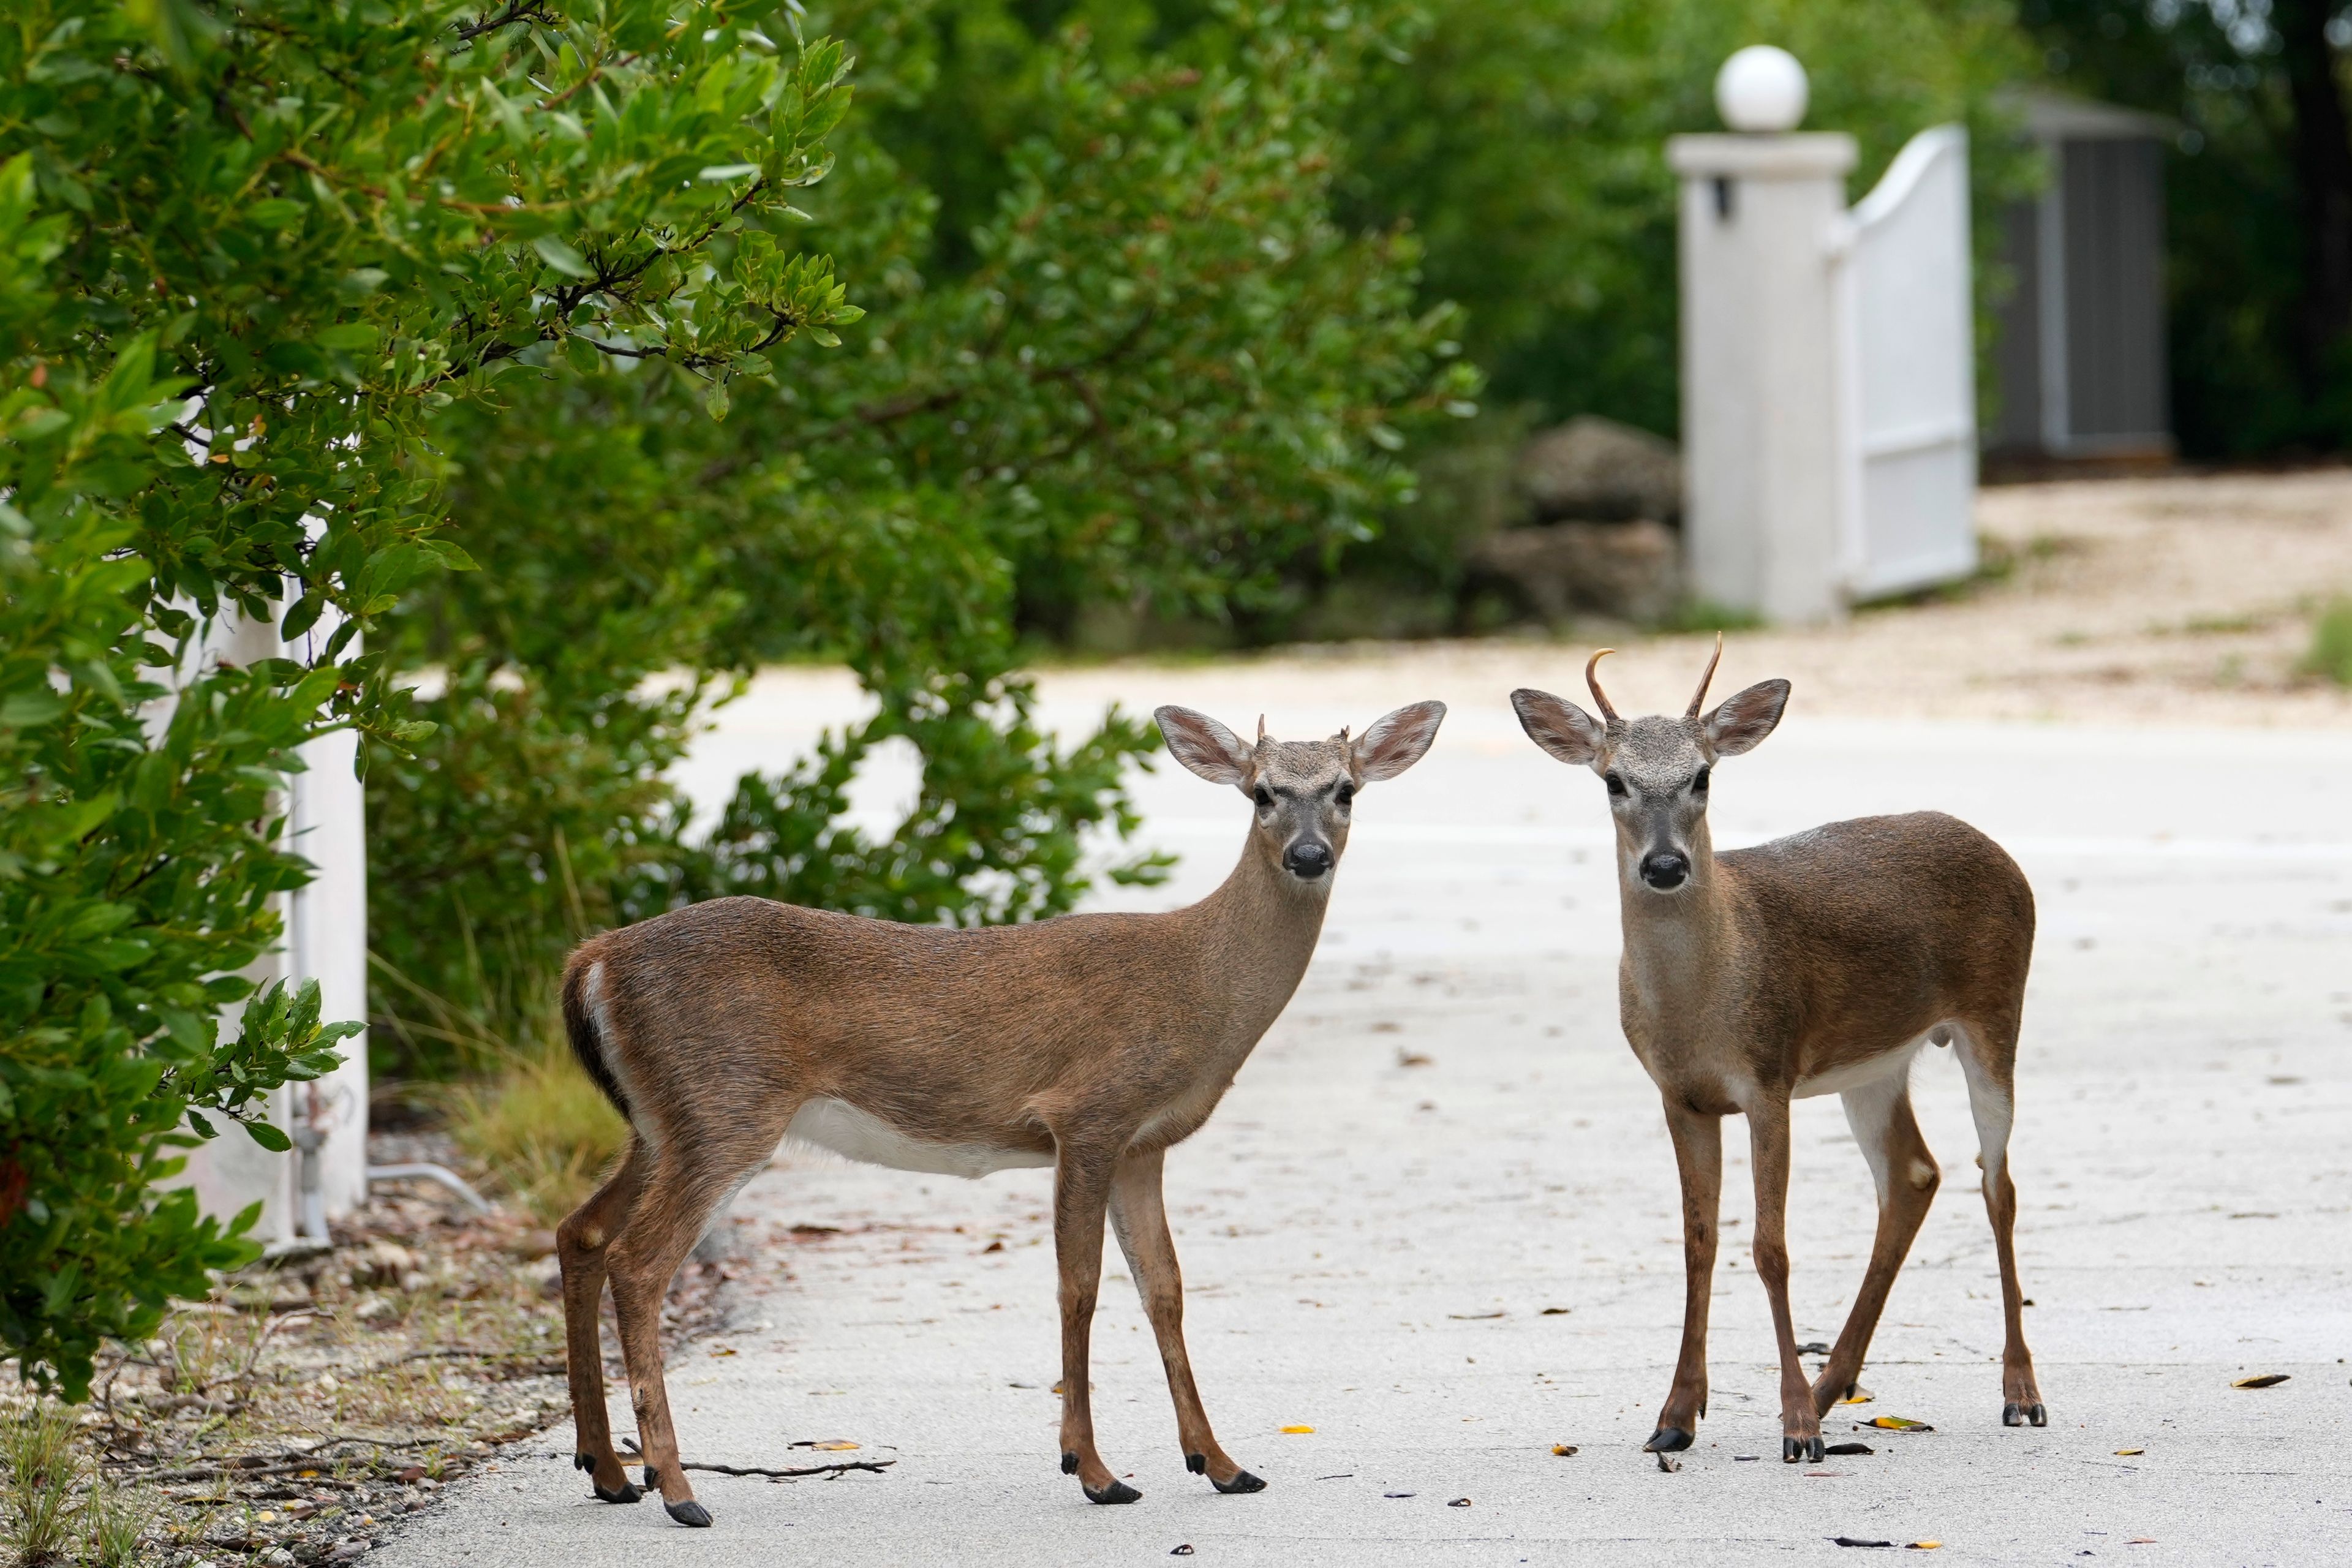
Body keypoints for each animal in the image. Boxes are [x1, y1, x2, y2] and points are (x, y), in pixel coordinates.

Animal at [548, 705, 1439, 1523]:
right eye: (1262, 793)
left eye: (1346, 790)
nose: (1308, 854)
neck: (1202, 987)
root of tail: (593, 960)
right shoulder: (1088, 1114)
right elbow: (1079, 1285)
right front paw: (1095, 1471)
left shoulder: (1144, 1144)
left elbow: (1165, 1289)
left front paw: (1221, 1464)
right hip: (726, 1105)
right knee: (639, 1260)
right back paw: (677, 1489)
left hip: (661, 1121)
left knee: (580, 1232)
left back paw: (609, 1471)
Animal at [1505, 639, 2041, 1476]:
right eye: (1613, 780)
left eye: (1703, 775)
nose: (1665, 866)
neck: (1703, 1002)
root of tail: (1998, 849)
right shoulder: (1681, 1095)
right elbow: (1699, 1243)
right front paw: (1675, 1418)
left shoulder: (1768, 1076)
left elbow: (1771, 1247)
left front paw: (1797, 1429)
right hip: (1874, 1065)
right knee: (1915, 1173)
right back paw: (1834, 1385)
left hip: (1996, 1012)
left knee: (1998, 1182)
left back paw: (2018, 1392)